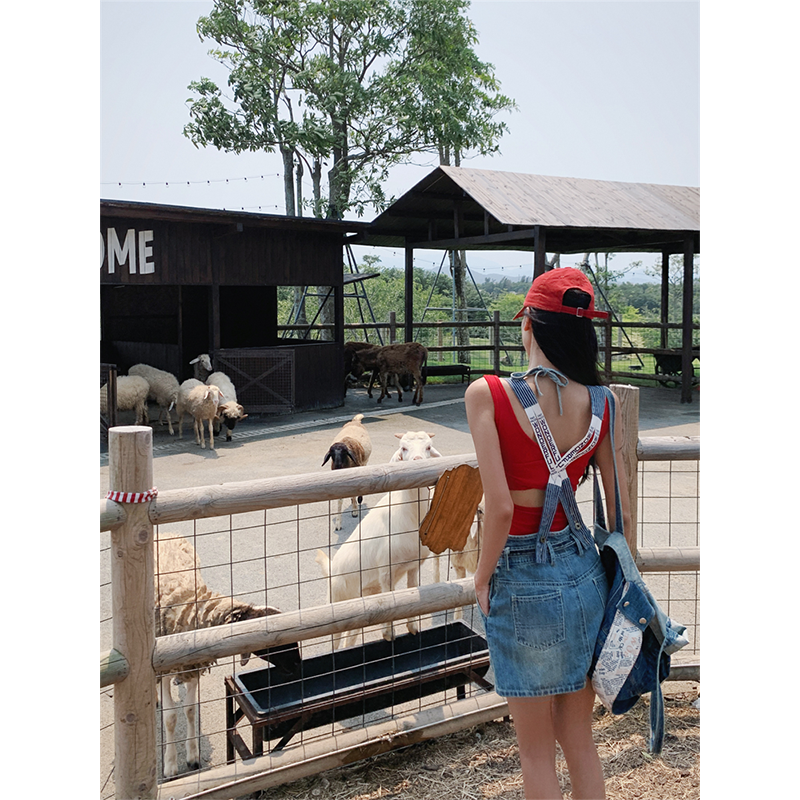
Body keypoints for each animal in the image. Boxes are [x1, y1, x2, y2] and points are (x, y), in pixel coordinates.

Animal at [154, 536, 300, 780]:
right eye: (276, 640)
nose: (298, 665)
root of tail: (166, 533)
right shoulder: (165, 666)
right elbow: (170, 717)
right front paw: (170, 765)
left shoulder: (193, 664)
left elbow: (190, 710)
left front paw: (193, 757)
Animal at [314, 432, 440, 648]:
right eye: (403, 448)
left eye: (429, 447)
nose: (417, 461)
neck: (409, 512)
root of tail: (331, 569)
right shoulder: (385, 570)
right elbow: (390, 600)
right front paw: (388, 633)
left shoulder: (413, 565)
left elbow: (412, 593)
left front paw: (413, 627)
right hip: (336, 602)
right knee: (336, 641)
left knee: (349, 638)